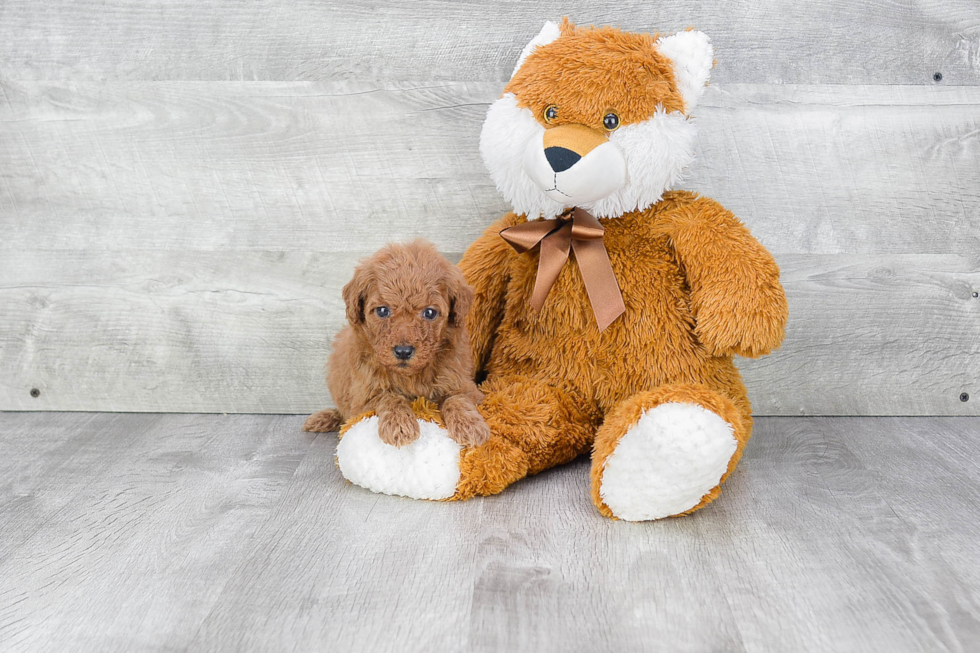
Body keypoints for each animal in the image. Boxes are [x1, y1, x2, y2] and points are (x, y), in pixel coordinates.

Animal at [302, 239, 490, 448]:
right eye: (383, 311)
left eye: (430, 312)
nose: (403, 352)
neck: (411, 376)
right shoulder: (362, 400)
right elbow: (389, 397)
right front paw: (400, 425)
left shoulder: (465, 385)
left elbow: (456, 398)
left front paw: (470, 425)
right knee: (343, 414)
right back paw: (323, 417)